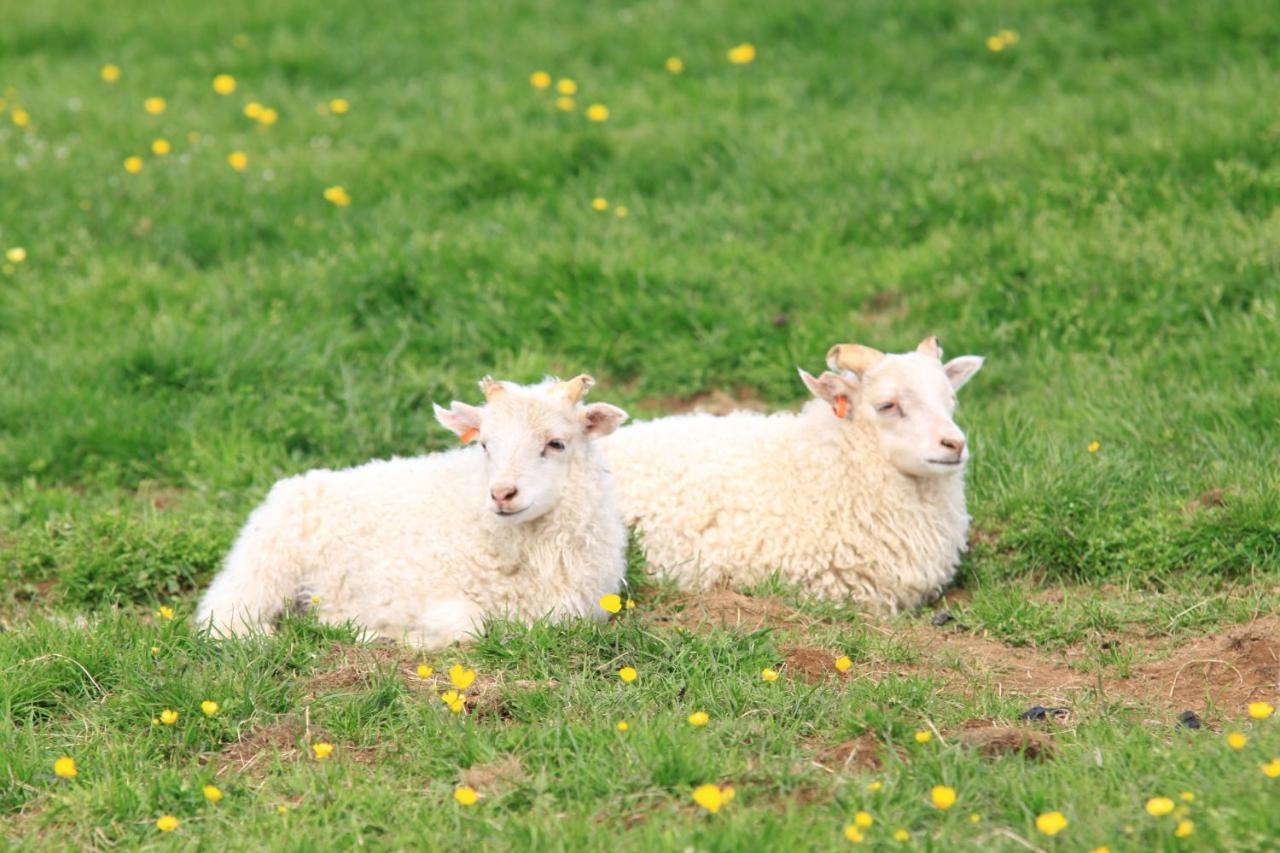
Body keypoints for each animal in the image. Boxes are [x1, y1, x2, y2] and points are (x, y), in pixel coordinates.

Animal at [194, 371, 629, 645]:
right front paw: (404, 636)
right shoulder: (409, 593)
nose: (502, 494)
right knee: (220, 615)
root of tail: (294, 484)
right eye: (484, 444)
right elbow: (468, 625)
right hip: (266, 566)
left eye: (556, 443)